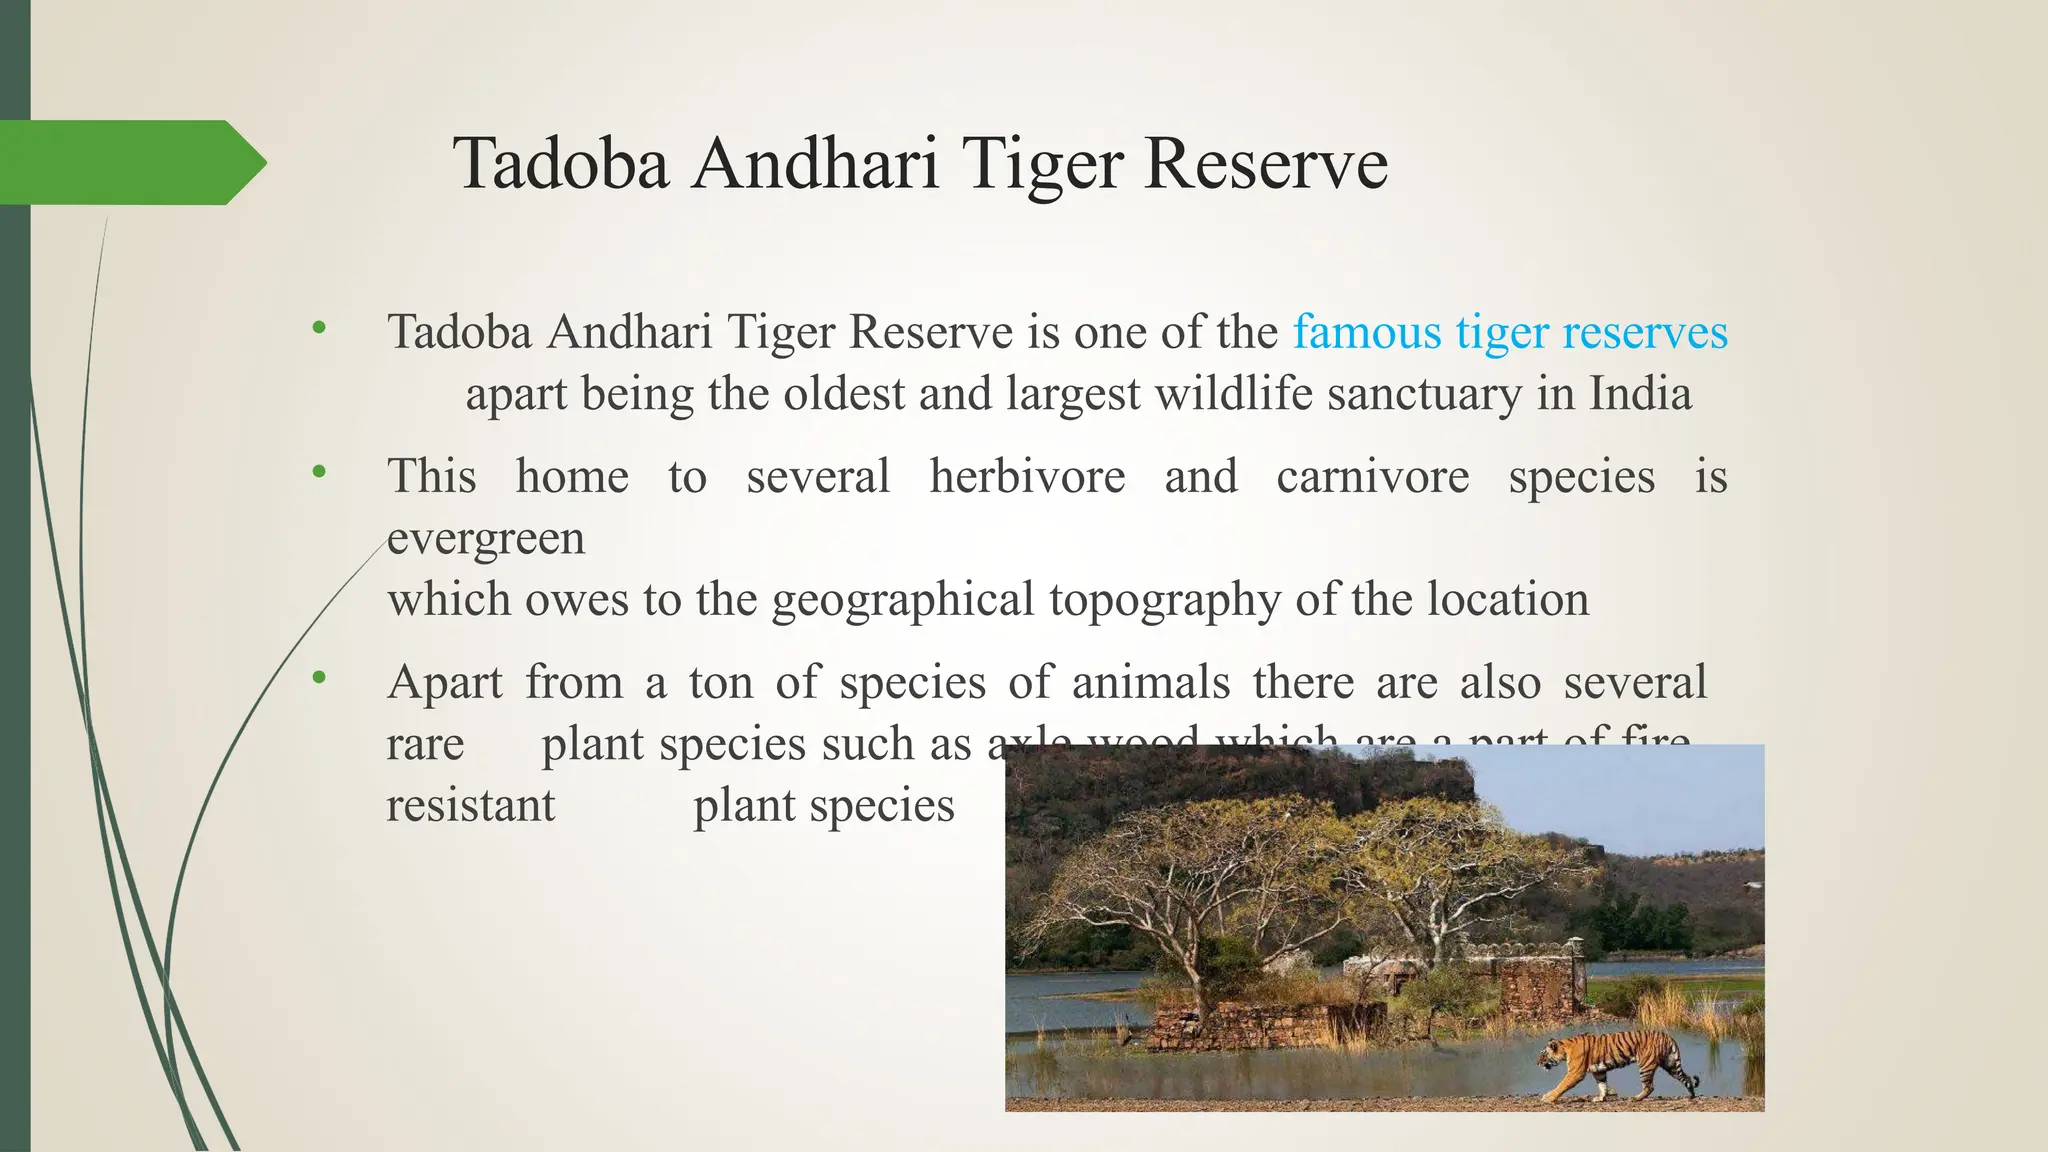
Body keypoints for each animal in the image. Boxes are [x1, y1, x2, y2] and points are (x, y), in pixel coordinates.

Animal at [1538, 1030, 1700, 1103]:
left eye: (1543, 1055)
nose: (1537, 1063)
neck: (1565, 1049)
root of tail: (1668, 1036)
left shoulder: (1575, 1073)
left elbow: (1561, 1085)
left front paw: (1548, 1097)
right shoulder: (1599, 1071)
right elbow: (1602, 1085)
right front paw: (1601, 1098)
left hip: (1645, 1065)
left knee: (1649, 1086)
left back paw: (1636, 1098)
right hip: (1671, 1065)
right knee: (1686, 1078)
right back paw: (1691, 1095)